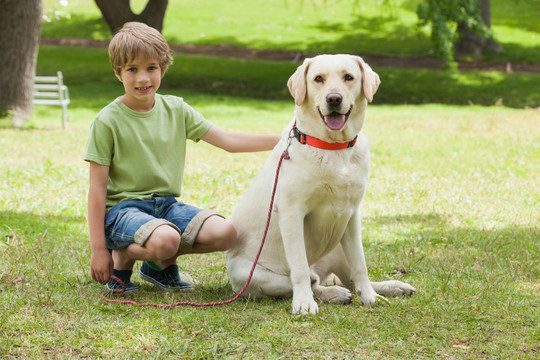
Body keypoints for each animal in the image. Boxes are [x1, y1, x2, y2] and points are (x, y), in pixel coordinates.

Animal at [226, 53, 416, 316]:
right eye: (318, 79)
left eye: (348, 77)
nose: (333, 99)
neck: (334, 148)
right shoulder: (292, 214)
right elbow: (299, 269)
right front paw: (304, 303)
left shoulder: (351, 214)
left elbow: (360, 264)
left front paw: (370, 297)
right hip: (250, 275)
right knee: (311, 281)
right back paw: (333, 293)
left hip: (337, 243)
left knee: (348, 278)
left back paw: (390, 287)